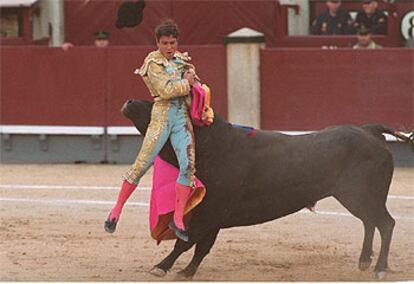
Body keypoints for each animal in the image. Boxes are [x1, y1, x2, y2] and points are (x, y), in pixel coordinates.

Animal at [119, 99, 410, 280]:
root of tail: (370, 131)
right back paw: (366, 261)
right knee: (370, 222)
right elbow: (201, 246)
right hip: (358, 197)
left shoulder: (210, 212)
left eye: (165, 106)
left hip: (361, 196)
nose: (130, 102)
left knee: (385, 223)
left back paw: (379, 268)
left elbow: (186, 241)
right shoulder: (213, 215)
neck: (214, 146)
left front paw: (161, 267)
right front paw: (187, 271)